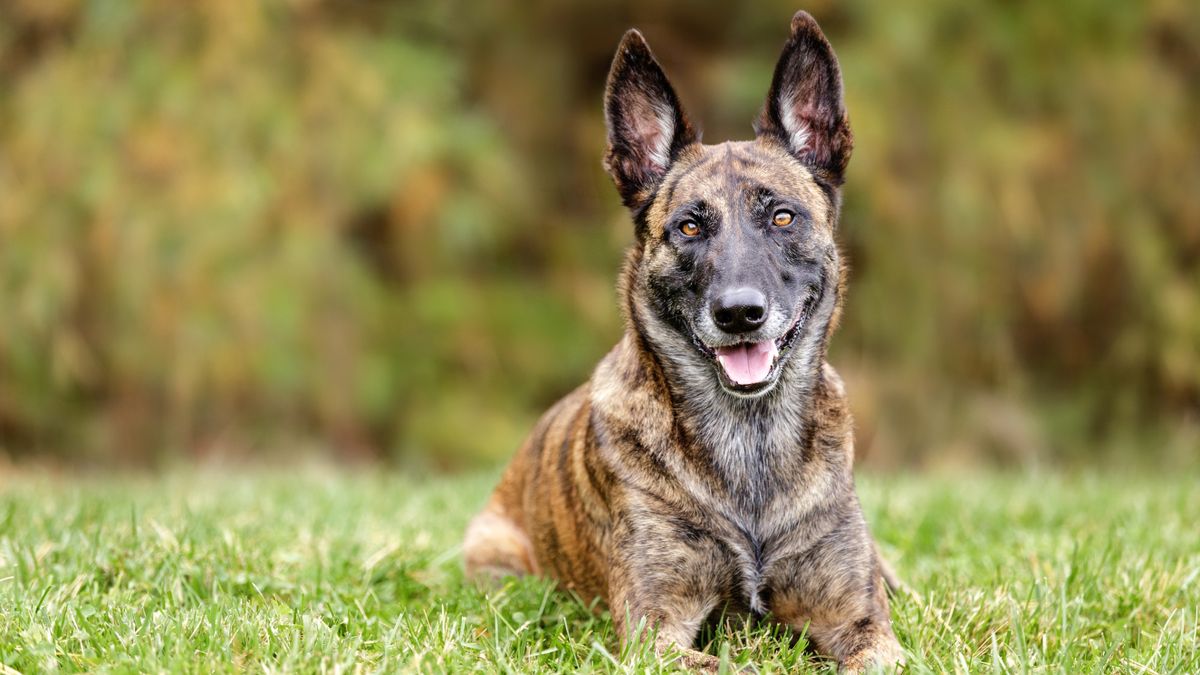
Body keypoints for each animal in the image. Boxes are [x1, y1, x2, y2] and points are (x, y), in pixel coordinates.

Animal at [463, 9, 902, 667]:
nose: (740, 314)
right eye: (689, 227)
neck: (749, 446)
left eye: (782, 217)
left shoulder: (861, 620)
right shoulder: (657, 632)